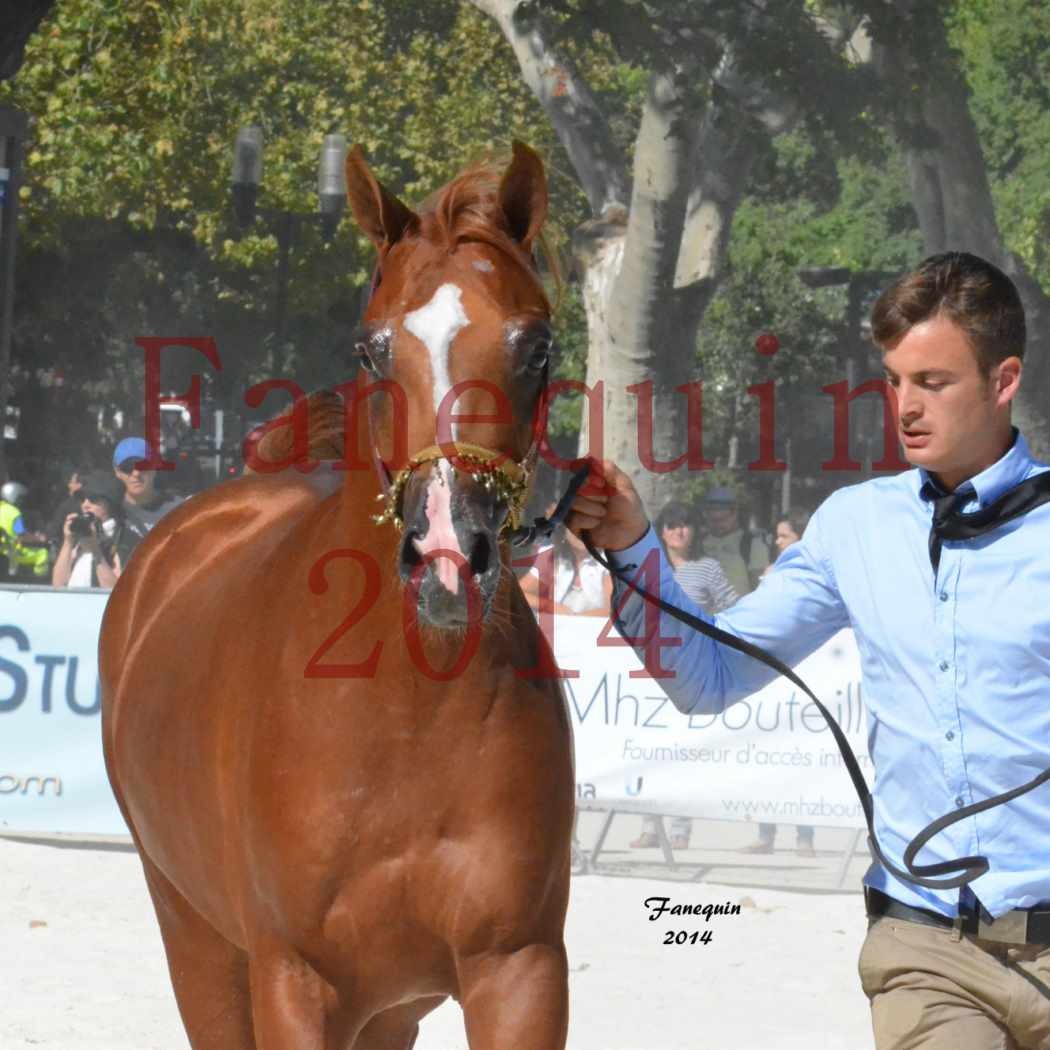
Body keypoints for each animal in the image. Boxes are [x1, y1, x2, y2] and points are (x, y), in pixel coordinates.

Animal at [98, 145, 575, 1050]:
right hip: (198, 944)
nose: (447, 555)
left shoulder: (519, 972)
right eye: (371, 349)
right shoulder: (295, 981)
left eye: (537, 347)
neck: (405, 716)